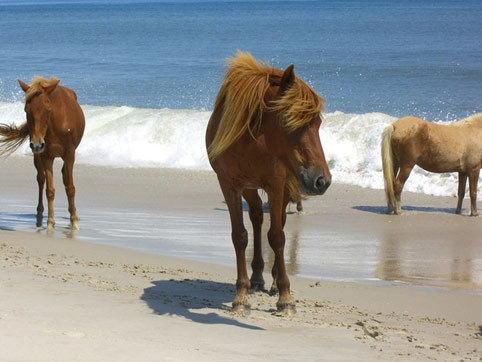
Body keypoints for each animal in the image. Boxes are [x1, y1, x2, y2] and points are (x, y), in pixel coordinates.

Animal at [0, 77, 85, 229]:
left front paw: (74, 220)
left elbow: (70, 187)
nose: (36, 144)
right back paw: (39, 213)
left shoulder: (70, 154)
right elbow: (49, 190)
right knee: (41, 179)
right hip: (37, 157)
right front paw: (50, 222)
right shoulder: (46, 156)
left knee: (64, 176)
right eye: (26, 110)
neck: (56, 124)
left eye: (48, 109)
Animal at [203, 51, 332, 314]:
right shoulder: (229, 185)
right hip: (250, 189)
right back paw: (256, 278)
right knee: (256, 217)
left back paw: (272, 282)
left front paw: (285, 297)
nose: (321, 181)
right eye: (289, 120)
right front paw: (241, 296)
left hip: (283, 188)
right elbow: (240, 236)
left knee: (277, 223)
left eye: (318, 123)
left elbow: (277, 236)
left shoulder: (276, 184)